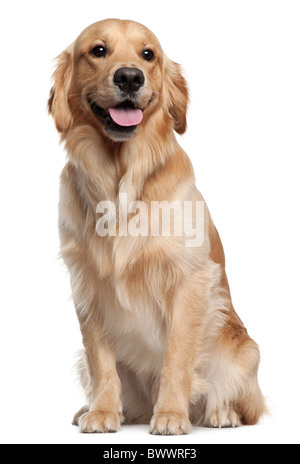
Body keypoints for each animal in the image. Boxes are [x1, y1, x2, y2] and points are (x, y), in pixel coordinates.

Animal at [48, 20, 266, 436]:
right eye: (98, 50)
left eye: (148, 54)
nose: (130, 77)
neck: (120, 176)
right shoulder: (88, 286)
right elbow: (101, 361)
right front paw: (101, 413)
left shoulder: (189, 279)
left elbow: (177, 357)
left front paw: (170, 415)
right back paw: (92, 409)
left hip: (242, 349)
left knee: (238, 399)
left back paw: (220, 414)